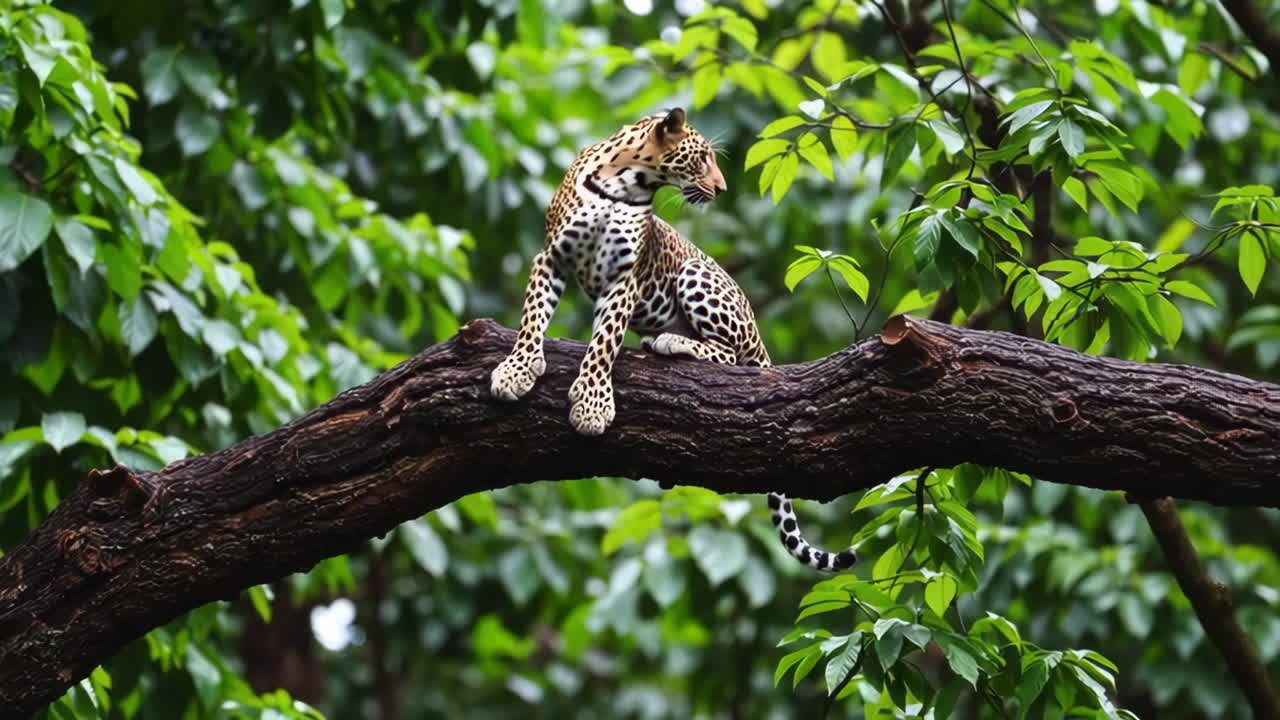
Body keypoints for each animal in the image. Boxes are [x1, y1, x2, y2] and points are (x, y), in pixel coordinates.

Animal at [490, 108, 856, 572]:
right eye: (702, 158)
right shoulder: (551, 257)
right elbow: (533, 318)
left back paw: (669, 343)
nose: (721, 189)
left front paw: (592, 403)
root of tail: (757, 332)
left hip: (695, 274)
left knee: (730, 354)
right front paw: (517, 369)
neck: (624, 184)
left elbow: (604, 343)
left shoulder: (624, 279)